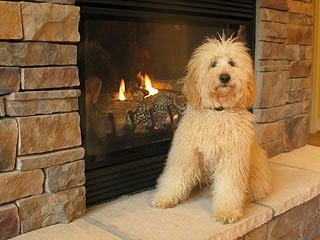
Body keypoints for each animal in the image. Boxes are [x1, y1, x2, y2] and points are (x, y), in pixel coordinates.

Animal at [151, 35, 272, 223]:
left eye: (231, 63)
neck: (218, 112)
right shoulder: (187, 153)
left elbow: (228, 187)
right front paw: (165, 198)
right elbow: (175, 176)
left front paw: (227, 211)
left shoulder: (231, 159)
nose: (224, 77)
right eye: (213, 63)